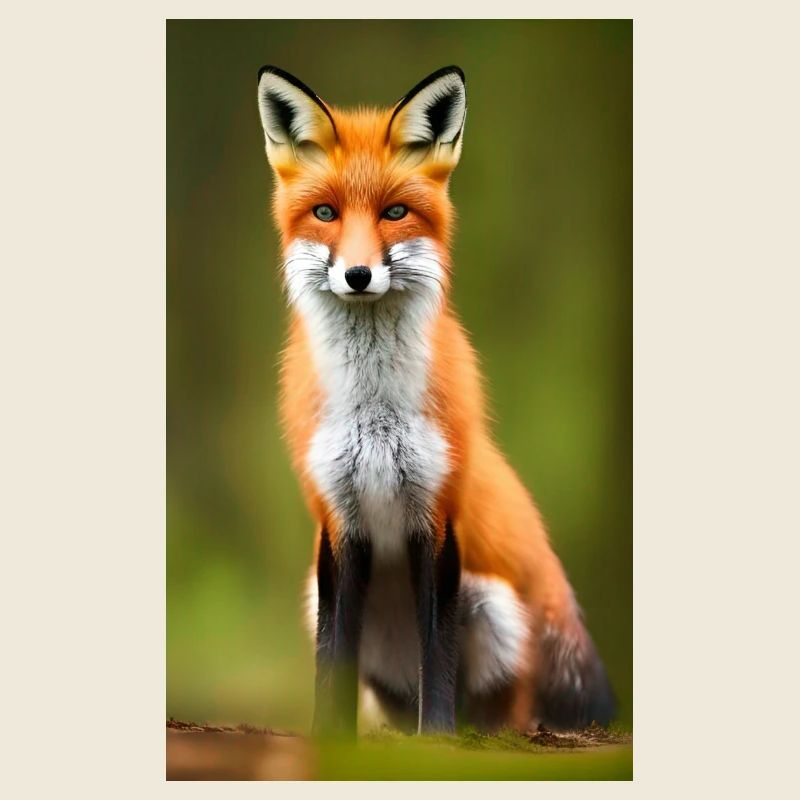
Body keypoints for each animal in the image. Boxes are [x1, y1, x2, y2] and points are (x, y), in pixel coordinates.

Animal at [256, 65, 615, 736]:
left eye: (395, 212)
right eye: (325, 213)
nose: (359, 275)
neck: (374, 412)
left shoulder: (437, 513)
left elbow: (438, 649)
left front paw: (439, 738)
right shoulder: (336, 520)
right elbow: (331, 655)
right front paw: (332, 737)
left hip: (494, 607)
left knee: (507, 709)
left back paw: (482, 730)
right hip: (323, 594)